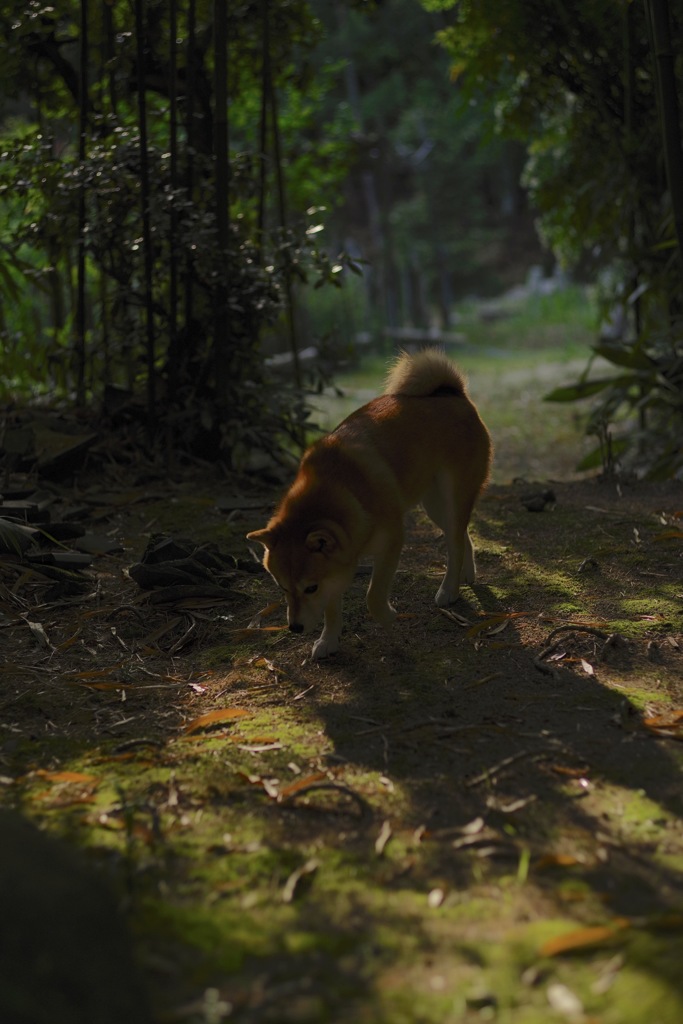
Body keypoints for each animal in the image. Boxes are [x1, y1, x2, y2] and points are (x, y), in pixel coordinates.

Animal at [245, 348, 491, 659]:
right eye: (283, 588)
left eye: (310, 588)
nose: (295, 629)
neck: (343, 489)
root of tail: (452, 394)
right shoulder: (337, 568)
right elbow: (331, 611)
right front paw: (328, 641)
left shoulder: (391, 543)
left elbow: (373, 597)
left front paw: (387, 617)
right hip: (435, 506)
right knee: (460, 536)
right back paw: (466, 575)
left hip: (453, 496)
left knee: (455, 543)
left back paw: (449, 590)